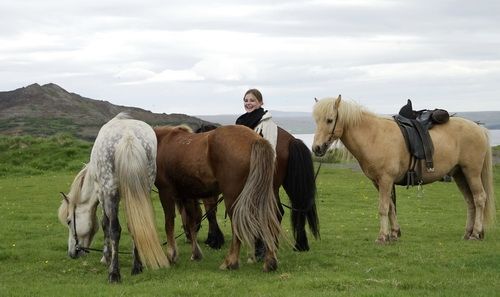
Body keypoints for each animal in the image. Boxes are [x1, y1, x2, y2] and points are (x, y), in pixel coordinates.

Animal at [57, 112, 168, 280]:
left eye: (69, 221)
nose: (72, 253)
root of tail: (128, 135)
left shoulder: (102, 194)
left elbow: (106, 225)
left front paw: (106, 257)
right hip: (144, 188)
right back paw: (136, 267)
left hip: (110, 192)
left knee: (115, 229)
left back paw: (114, 273)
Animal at [154, 123, 284, 272]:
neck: (161, 142)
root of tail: (256, 139)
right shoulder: (187, 195)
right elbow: (191, 222)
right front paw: (195, 254)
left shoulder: (166, 192)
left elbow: (169, 223)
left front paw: (171, 255)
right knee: (268, 221)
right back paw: (270, 261)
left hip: (233, 198)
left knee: (237, 227)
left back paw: (231, 261)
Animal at [185, 125, 320, 252]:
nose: (188, 236)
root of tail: (291, 140)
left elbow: (210, 212)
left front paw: (215, 240)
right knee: (297, 209)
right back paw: (299, 245)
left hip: (271, 188)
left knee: (276, 213)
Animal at [312, 95, 496, 243]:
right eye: (316, 121)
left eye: (329, 120)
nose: (317, 148)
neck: (374, 136)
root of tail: (478, 127)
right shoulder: (379, 182)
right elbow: (391, 207)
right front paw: (394, 233)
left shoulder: (386, 180)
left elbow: (383, 208)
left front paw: (382, 237)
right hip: (460, 174)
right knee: (470, 202)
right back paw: (468, 233)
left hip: (471, 172)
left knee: (479, 198)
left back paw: (475, 234)